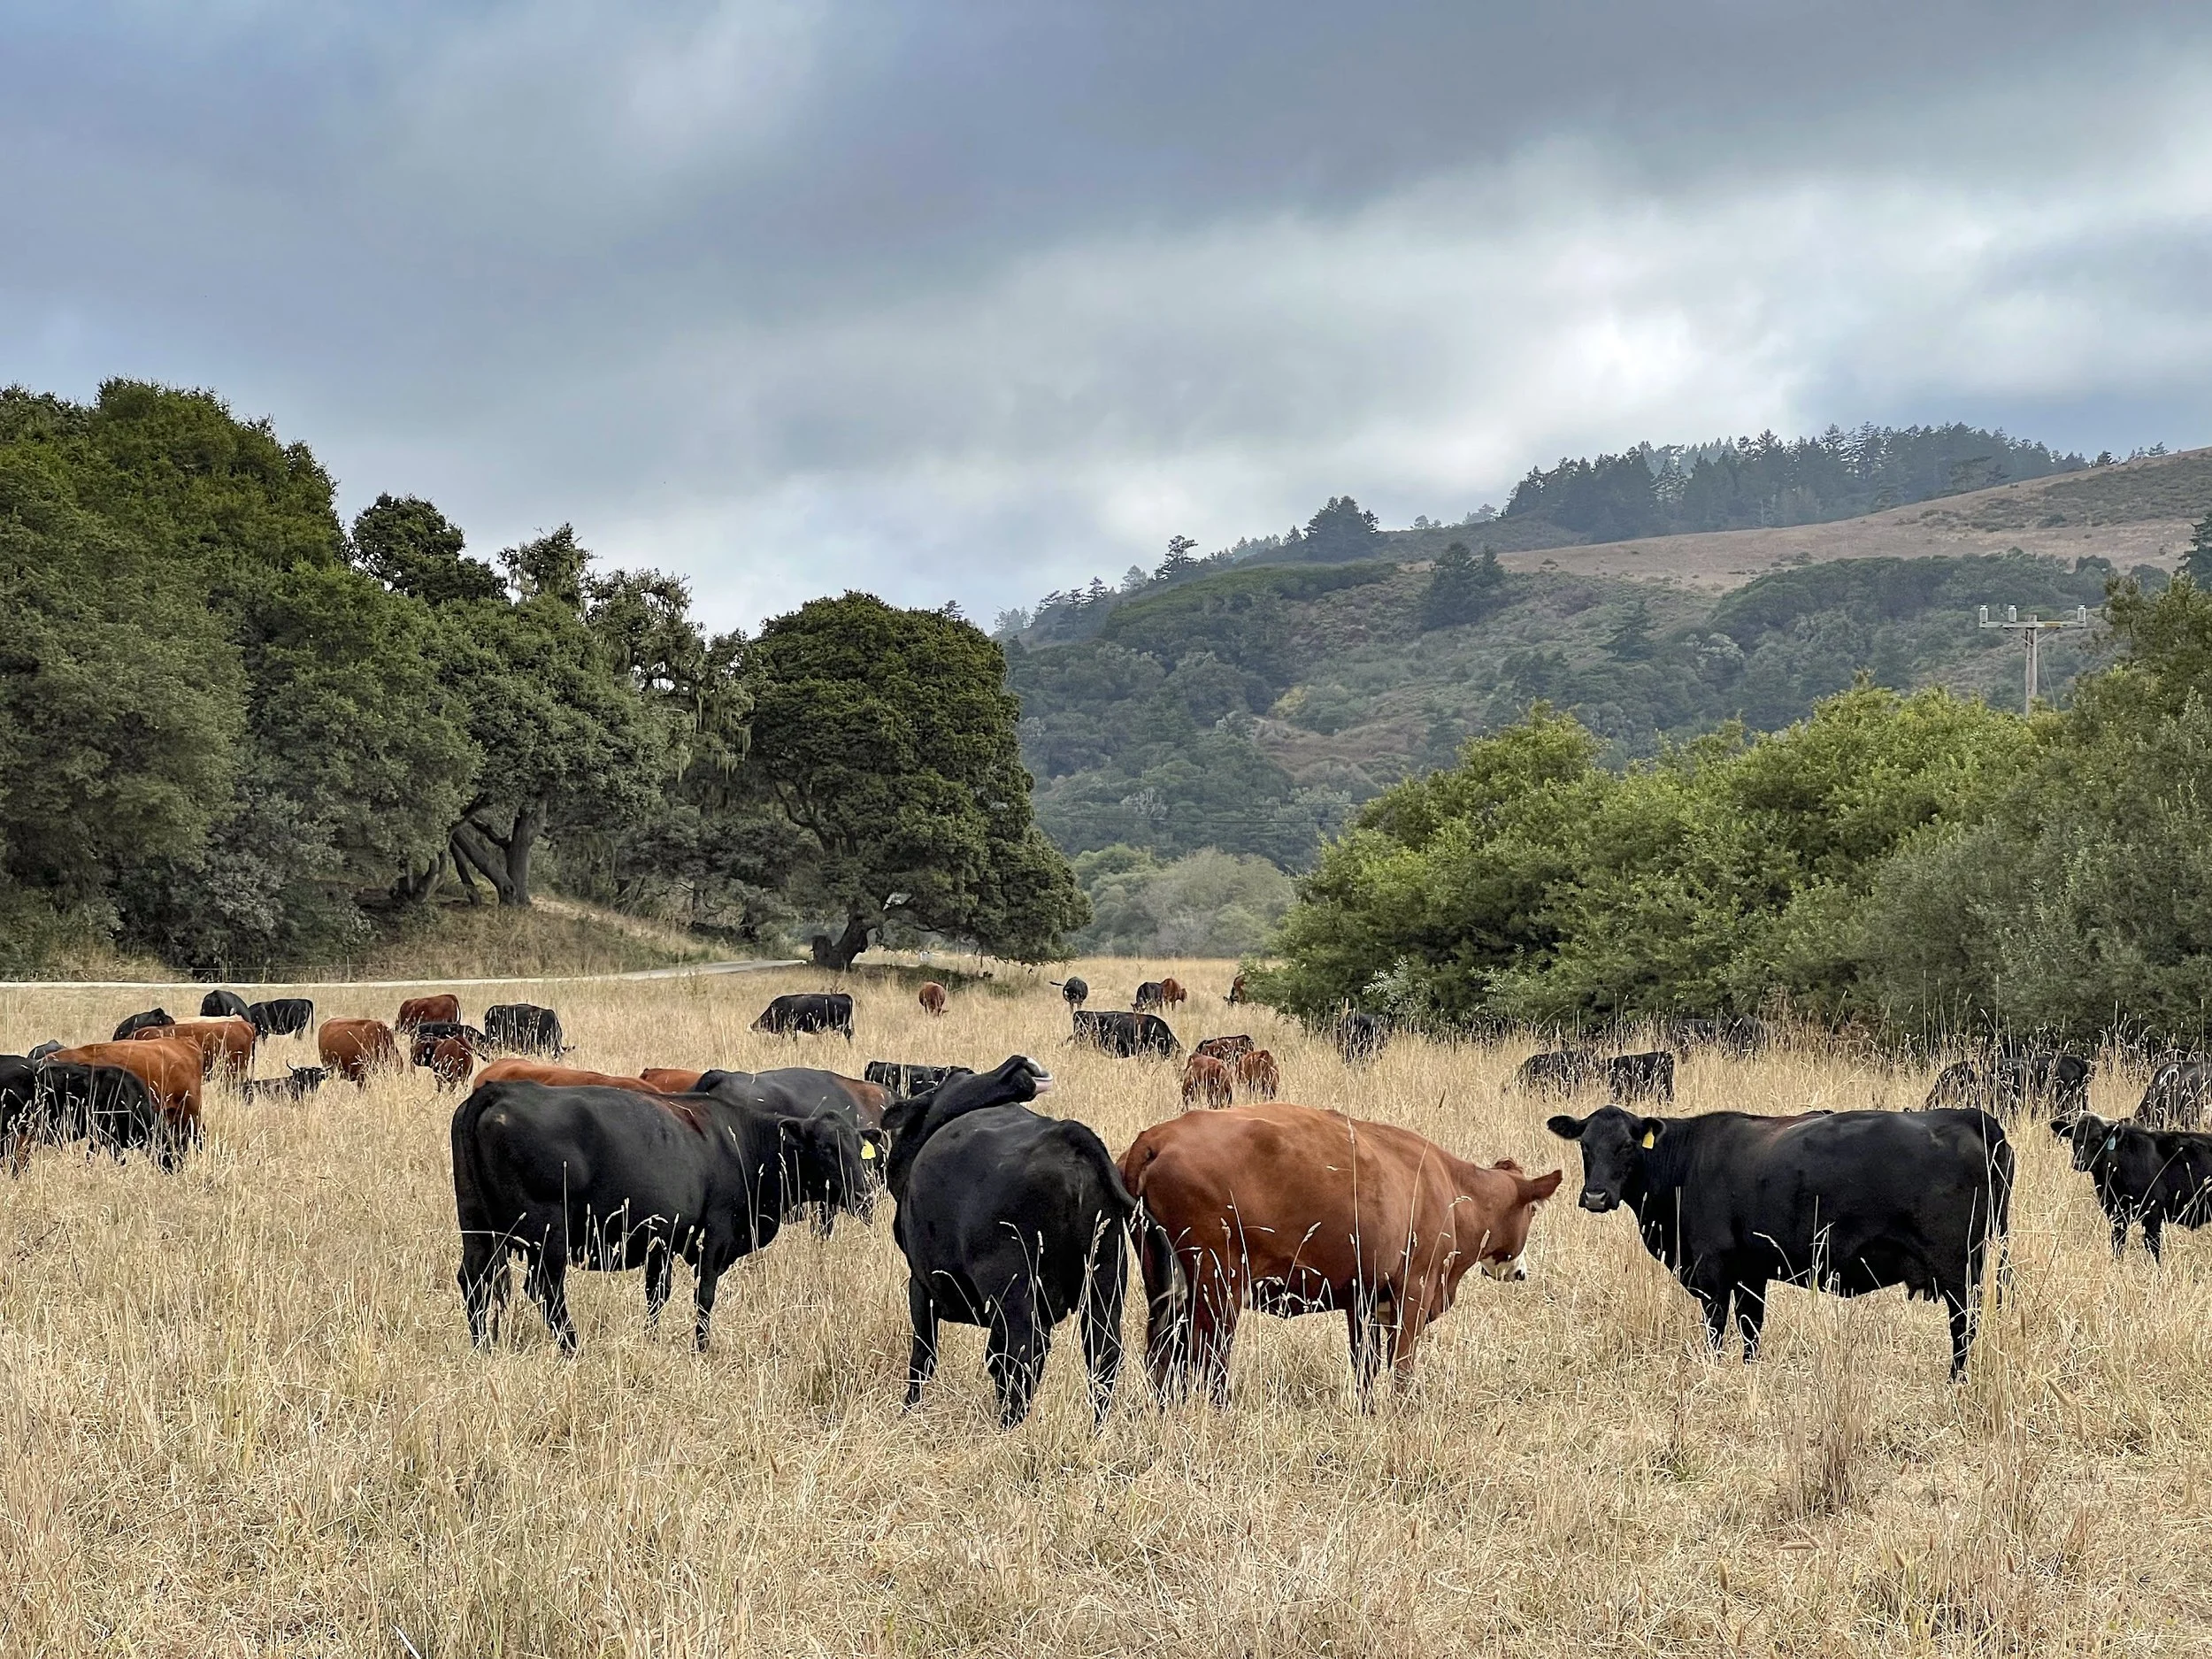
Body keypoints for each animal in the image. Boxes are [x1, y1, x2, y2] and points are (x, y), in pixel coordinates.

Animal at [452, 1077, 870, 1352]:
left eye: (858, 1146)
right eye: (826, 1148)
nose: (864, 1193)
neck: (741, 1144)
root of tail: (500, 1090)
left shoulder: (662, 1240)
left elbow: (656, 1295)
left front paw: (651, 1340)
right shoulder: (715, 1234)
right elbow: (704, 1296)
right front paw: (700, 1349)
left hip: (477, 1228)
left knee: (475, 1282)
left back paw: (483, 1348)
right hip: (547, 1233)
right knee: (546, 1290)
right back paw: (572, 1348)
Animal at [886, 1055, 1182, 1427]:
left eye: (958, 1077)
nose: (1018, 1065)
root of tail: (1067, 1136)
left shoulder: (920, 1284)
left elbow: (923, 1357)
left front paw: (909, 1410)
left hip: (1013, 1286)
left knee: (1025, 1353)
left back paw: (1008, 1425)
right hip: (1105, 1274)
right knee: (1103, 1354)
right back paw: (1096, 1426)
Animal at [1122, 1102, 1561, 1405]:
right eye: (1533, 1211)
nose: (1521, 1272)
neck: (1450, 1189)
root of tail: (1157, 1137)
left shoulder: (1364, 1300)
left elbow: (1366, 1367)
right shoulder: (1414, 1292)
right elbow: (1402, 1368)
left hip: (1167, 1287)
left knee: (1163, 1356)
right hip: (1218, 1288)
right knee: (1205, 1358)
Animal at [1547, 1105, 2012, 1378]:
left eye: (1627, 1145)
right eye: (1585, 1146)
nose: (1595, 1196)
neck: (1685, 1164)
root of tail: (1967, 1116)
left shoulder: (1712, 1272)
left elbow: (1717, 1330)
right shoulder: (1750, 1273)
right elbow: (1751, 1329)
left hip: (1957, 1268)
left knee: (1963, 1327)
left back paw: (1956, 1380)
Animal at [2053, 1114, 2212, 1259]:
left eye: (2096, 1140)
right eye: (2074, 1139)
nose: (2079, 1163)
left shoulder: (2153, 1212)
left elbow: (2153, 1247)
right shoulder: (2116, 1213)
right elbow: (2117, 1244)